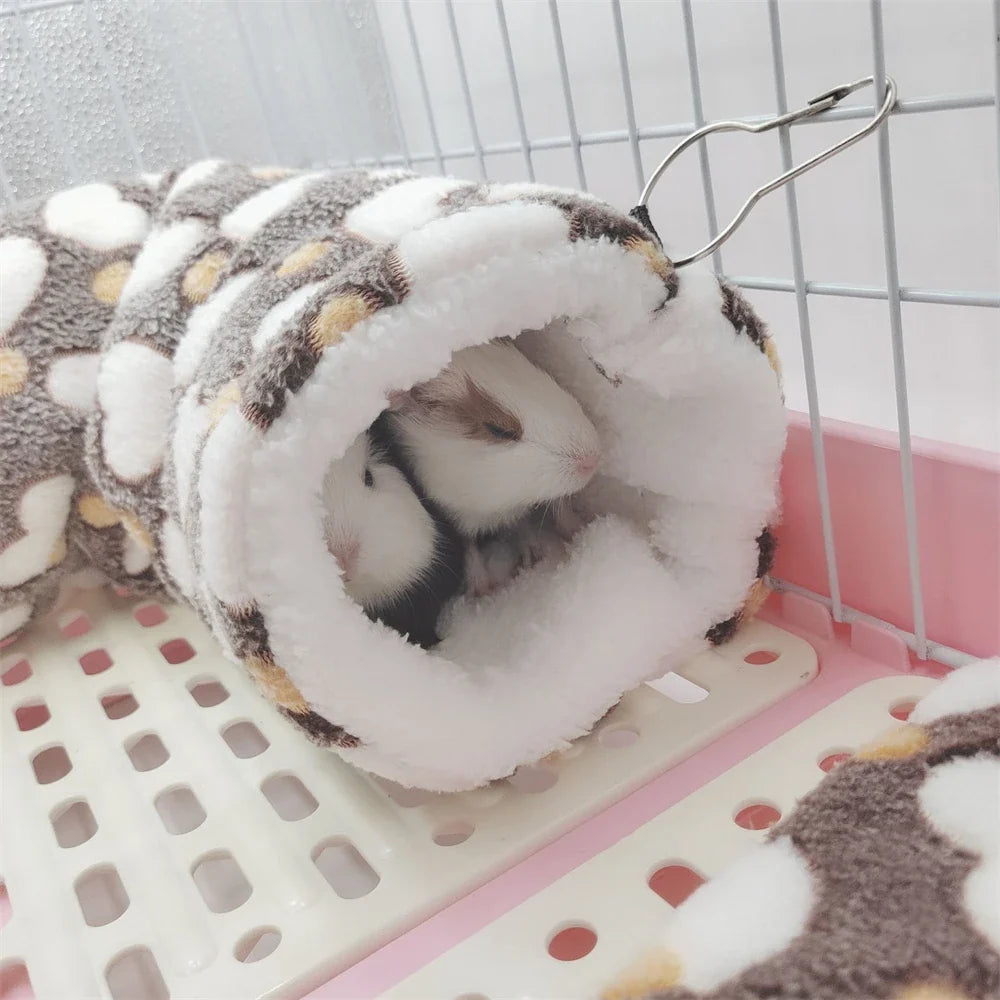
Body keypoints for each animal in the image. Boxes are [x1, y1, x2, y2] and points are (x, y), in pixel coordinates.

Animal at [379, 338, 602, 596]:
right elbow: (469, 547)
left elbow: (524, 523)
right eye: (499, 430)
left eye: (538, 370)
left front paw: (575, 531)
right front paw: (485, 591)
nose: (593, 459)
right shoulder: (454, 517)